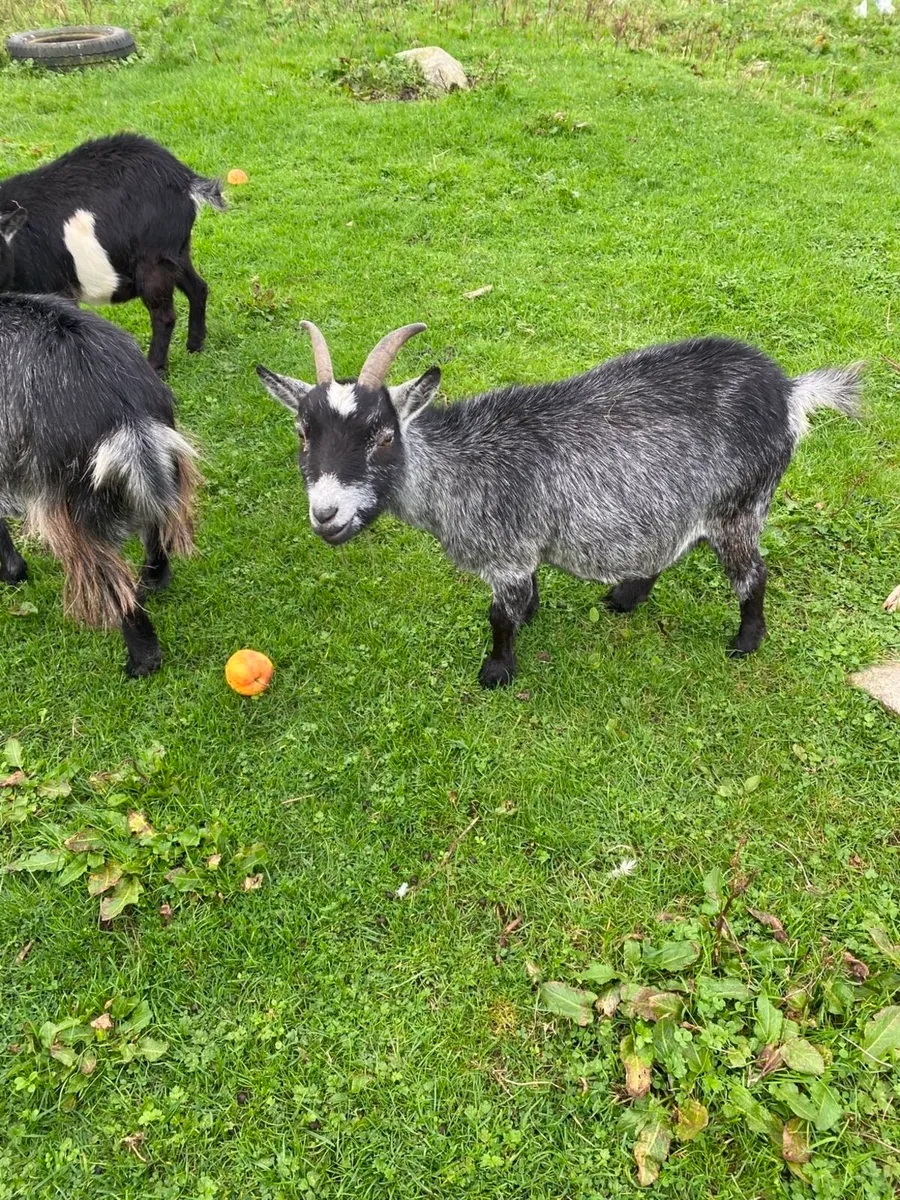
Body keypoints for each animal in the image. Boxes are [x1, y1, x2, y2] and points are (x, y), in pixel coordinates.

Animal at [0, 133, 224, 374]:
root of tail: (183, 178)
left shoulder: (56, 288)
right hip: (176, 252)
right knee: (198, 288)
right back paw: (195, 346)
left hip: (153, 259)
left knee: (164, 315)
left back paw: (156, 367)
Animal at [0, 282, 200, 676]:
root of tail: (127, 416)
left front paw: (13, 574)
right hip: (161, 477)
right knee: (158, 531)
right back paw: (152, 580)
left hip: (70, 510)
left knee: (114, 585)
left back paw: (141, 661)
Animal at [257, 322, 861, 687]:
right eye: (302, 433)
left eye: (383, 436)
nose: (326, 515)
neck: (458, 468)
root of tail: (789, 391)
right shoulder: (522, 548)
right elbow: (523, 595)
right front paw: (530, 616)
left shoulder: (506, 552)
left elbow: (497, 614)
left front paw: (498, 670)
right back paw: (627, 595)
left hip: (740, 503)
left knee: (751, 572)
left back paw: (746, 640)